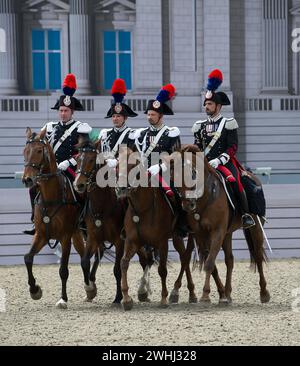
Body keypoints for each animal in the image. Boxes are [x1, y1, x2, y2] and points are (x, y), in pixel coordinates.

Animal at [22, 127, 91, 308]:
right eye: (25, 151)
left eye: (39, 151)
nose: (27, 179)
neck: (51, 197)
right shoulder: (41, 235)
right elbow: (28, 258)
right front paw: (35, 290)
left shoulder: (65, 237)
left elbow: (63, 270)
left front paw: (63, 299)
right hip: (76, 234)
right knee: (84, 257)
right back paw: (90, 290)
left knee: (85, 258)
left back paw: (90, 288)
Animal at [72, 136, 152, 304]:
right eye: (77, 158)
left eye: (91, 159)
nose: (79, 184)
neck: (103, 205)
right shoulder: (93, 238)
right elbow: (84, 262)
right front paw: (90, 290)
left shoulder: (119, 241)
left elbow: (117, 269)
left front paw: (118, 297)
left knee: (147, 259)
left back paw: (143, 290)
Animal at [116, 147, 198, 310]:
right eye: (117, 165)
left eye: (133, 165)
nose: (121, 188)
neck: (142, 209)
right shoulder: (132, 241)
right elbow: (124, 263)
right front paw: (127, 299)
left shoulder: (162, 242)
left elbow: (162, 270)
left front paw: (163, 298)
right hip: (176, 237)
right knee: (183, 257)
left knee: (185, 258)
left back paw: (185, 293)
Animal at [172, 144, 270, 304]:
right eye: (174, 176)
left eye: (193, 173)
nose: (188, 204)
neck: (206, 198)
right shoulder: (200, 234)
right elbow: (210, 263)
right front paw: (218, 294)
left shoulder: (217, 231)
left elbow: (209, 263)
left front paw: (205, 295)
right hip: (227, 233)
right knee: (229, 259)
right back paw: (228, 294)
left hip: (255, 229)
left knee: (258, 255)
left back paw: (264, 293)